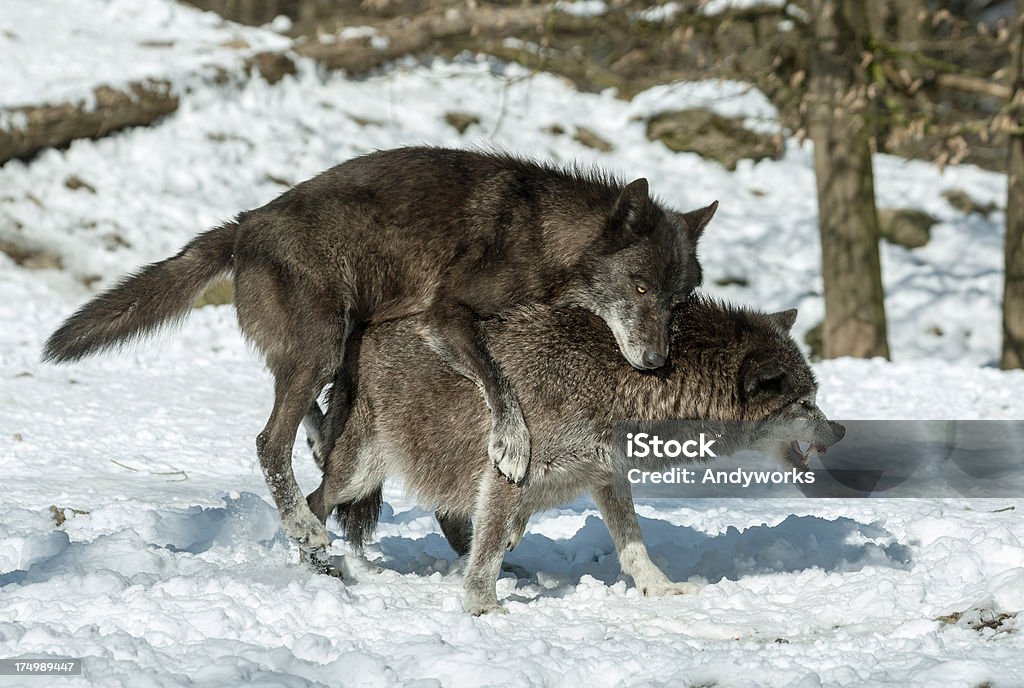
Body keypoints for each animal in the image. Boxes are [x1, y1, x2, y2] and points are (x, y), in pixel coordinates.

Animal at [41, 147, 720, 556]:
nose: (656, 362)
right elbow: (496, 381)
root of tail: (246, 223)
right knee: (269, 442)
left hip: (337, 341)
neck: (545, 238)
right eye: (639, 288)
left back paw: (321, 458)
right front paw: (511, 443)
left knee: (312, 417)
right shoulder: (445, 318)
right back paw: (302, 526)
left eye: (679, 300)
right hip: (323, 341)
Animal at [305, 294, 847, 614]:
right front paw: (484, 609)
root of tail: (360, 335)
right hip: (360, 473)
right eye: (804, 404)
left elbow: (634, 545)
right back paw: (315, 563)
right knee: (314, 502)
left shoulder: (608, 476)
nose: (841, 430)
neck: (620, 383)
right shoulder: (508, 478)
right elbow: (487, 555)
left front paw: (660, 590)